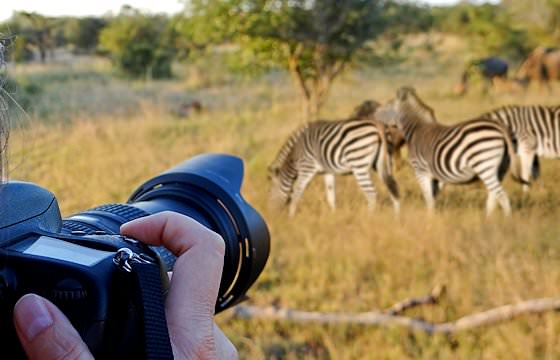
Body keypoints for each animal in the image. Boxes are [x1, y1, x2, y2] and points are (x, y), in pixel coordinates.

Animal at [270, 116, 400, 217]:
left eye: (269, 192)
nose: (272, 214)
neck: (295, 153)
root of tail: (378, 125)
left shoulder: (307, 167)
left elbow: (297, 191)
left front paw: (291, 216)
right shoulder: (328, 172)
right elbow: (331, 196)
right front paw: (333, 215)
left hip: (359, 164)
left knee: (372, 194)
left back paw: (369, 218)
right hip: (384, 162)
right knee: (393, 188)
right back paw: (397, 218)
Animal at [374, 86, 528, 217]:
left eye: (386, 106)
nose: (374, 117)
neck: (416, 130)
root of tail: (500, 127)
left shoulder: (421, 171)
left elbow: (428, 198)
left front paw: (429, 220)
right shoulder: (438, 176)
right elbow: (433, 197)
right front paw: (432, 218)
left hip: (484, 164)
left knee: (502, 196)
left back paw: (505, 222)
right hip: (500, 169)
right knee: (493, 197)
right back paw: (487, 221)